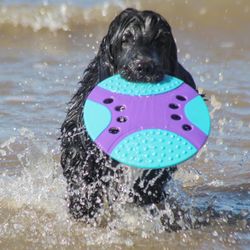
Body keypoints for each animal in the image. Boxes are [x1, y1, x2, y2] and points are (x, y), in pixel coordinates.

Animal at [60, 8, 195, 221]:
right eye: (126, 39)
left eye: (161, 41)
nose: (144, 67)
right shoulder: (79, 135)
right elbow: (81, 164)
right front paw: (83, 205)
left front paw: (144, 192)